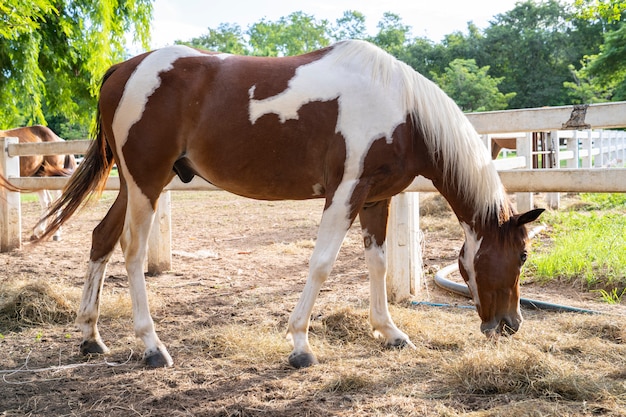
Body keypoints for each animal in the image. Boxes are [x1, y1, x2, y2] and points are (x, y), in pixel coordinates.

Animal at [35, 40, 540, 368]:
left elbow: (375, 265)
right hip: (146, 182)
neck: (404, 110)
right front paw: (300, 345)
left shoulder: (375, 198)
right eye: (521, 255)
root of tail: (123, 69)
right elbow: (322, 265)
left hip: (133, 184)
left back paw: (90, 338)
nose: (510, 325)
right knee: (133, 250)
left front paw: (390, 332)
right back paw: (152, 347)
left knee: (102, 238)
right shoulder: (345, 193)